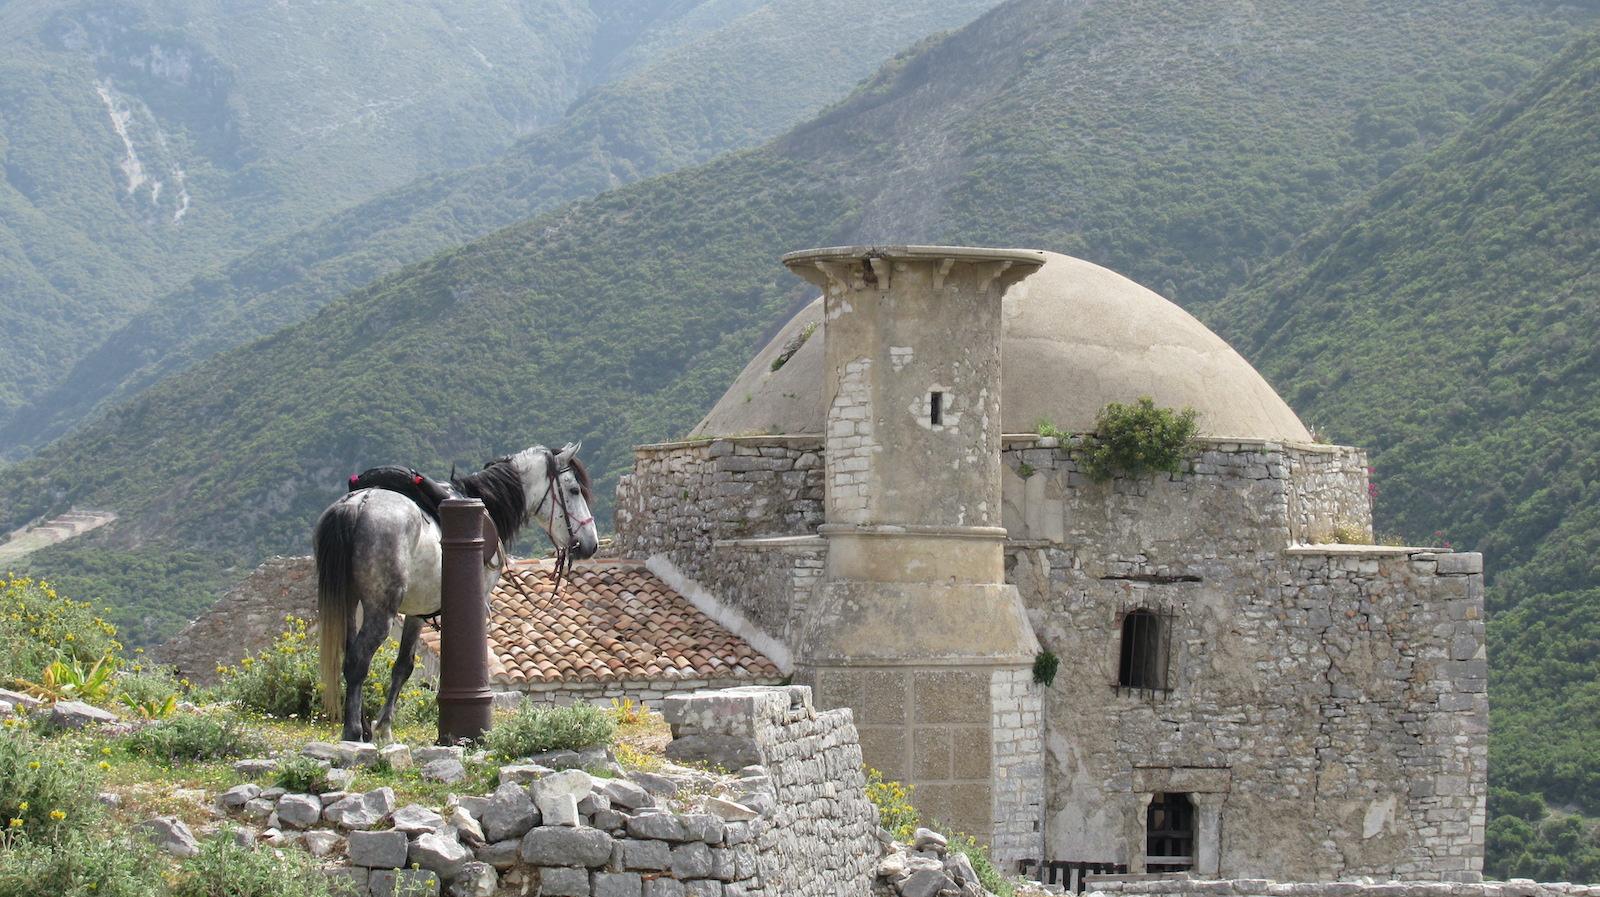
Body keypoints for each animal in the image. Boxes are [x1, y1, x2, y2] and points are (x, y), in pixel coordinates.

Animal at [308, 441, 598, 741]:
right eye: (574, 490)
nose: (591, 544)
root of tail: (359, 504)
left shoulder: (416, 611)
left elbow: (402, 666)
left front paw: (381, 728)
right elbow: (405, 667)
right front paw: (385, 729)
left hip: (349, 603)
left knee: (349, 656)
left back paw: (361, 727)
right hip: (380, 611)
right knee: (358, 660)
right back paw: (353, 731)